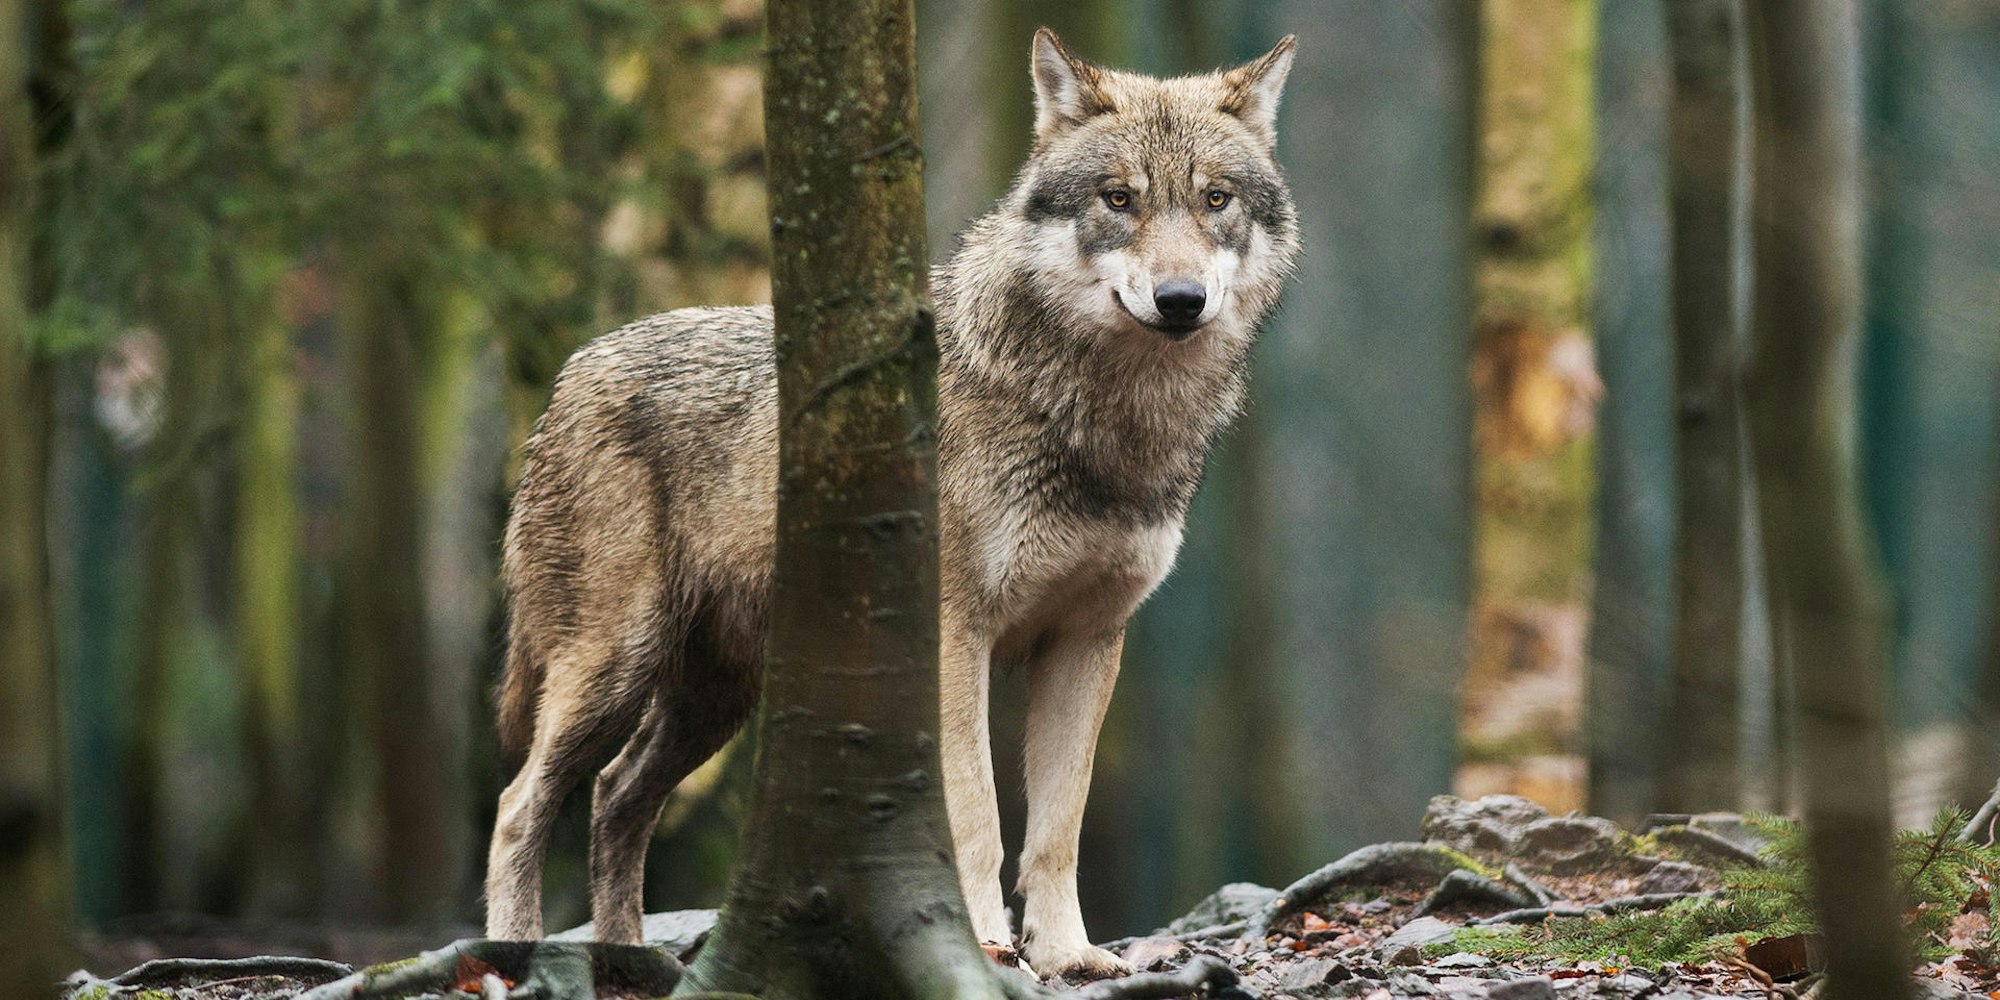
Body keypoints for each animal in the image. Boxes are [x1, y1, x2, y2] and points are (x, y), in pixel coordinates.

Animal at [483, 28, 1300, 979]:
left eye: (1215, 199)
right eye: (1119, 199)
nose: (1180, 300)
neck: (1102, 422)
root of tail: (569, 374)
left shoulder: (1088, 640)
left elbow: (1058, 828)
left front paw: (1070, 955)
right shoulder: (955, 634)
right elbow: (978, 817)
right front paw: (984, 945)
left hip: (713, 699)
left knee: (615, 799)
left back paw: (628, 962)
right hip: (615, 667)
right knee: (519, 806)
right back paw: (513, 957)